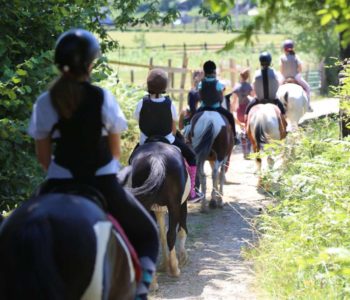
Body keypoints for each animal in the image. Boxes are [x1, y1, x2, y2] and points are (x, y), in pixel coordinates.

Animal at [117, 142, 189, 280]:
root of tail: (157, 157)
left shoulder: (158, 210)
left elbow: (161, 235)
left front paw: (164, 265)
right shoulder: (182, 204)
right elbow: (181, 229)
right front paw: (181, 259)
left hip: (145, 204)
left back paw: (153, 281)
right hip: (174, 206)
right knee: (171, 234)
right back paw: (175, 270)